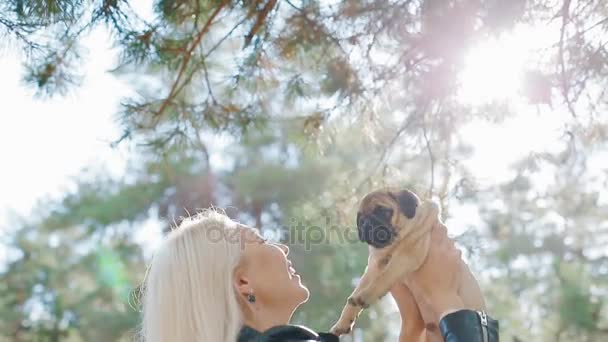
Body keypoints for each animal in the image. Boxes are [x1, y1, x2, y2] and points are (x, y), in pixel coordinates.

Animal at [328, 190, 484, 336]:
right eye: (360, 219)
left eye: (383, 211)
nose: (366, 223)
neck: (392, 246)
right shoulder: (373, 267)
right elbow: (355, 295)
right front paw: (343, 321)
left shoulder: (405, 257)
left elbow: (382, 279)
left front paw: (365, 296)